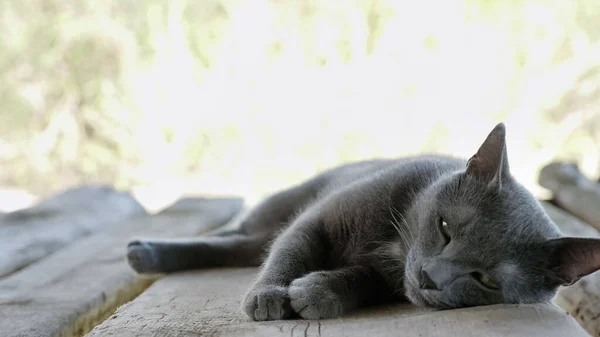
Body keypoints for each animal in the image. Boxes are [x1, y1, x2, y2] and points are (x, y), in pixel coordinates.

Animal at [125, 123, 600, 320]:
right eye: (446, 228)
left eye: (485, 280)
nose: (429, 277)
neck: (397, 241)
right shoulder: (317, 219)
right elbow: (289, 251)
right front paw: (268, 296)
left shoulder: (387, 278)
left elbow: (361, 280)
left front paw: (318, 293)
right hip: (283, 201)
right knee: (244, 239)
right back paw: (145, 253)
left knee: (242, 247)